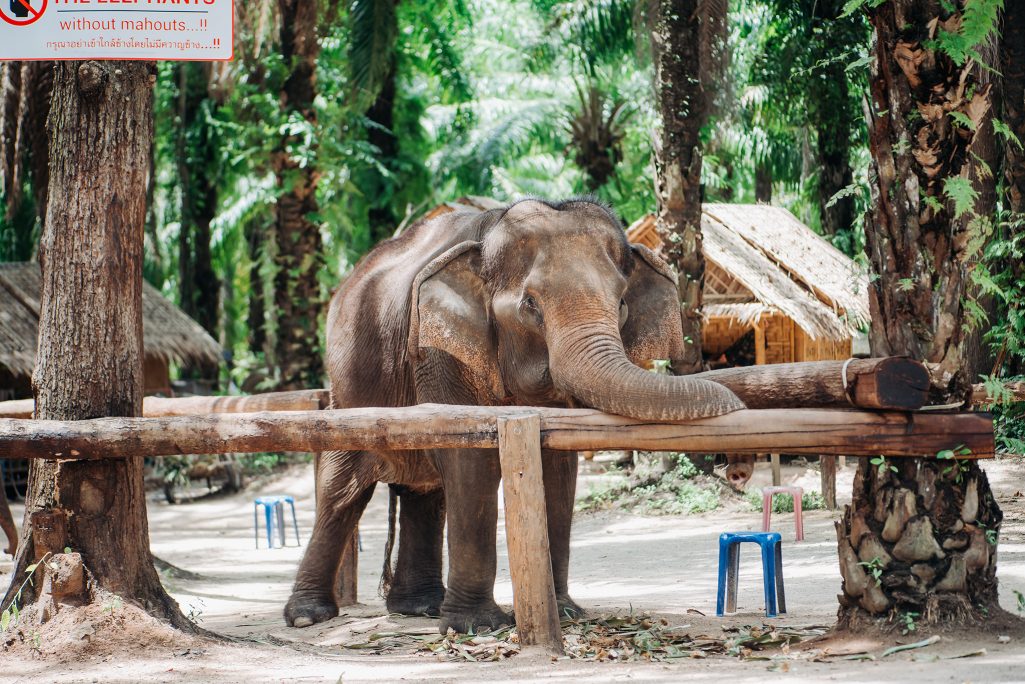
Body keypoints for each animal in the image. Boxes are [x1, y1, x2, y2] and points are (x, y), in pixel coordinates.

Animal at [284, 198, 742, 635]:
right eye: (530, 305)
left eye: (622, 303)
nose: (735, 403)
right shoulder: (440, 354)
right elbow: (471, 463)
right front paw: (478, 627)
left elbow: (557, 464)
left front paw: (566, 614)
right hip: (346, 396)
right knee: (342, 491)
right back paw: (308, 617)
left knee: (424, 493)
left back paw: (419, 608)